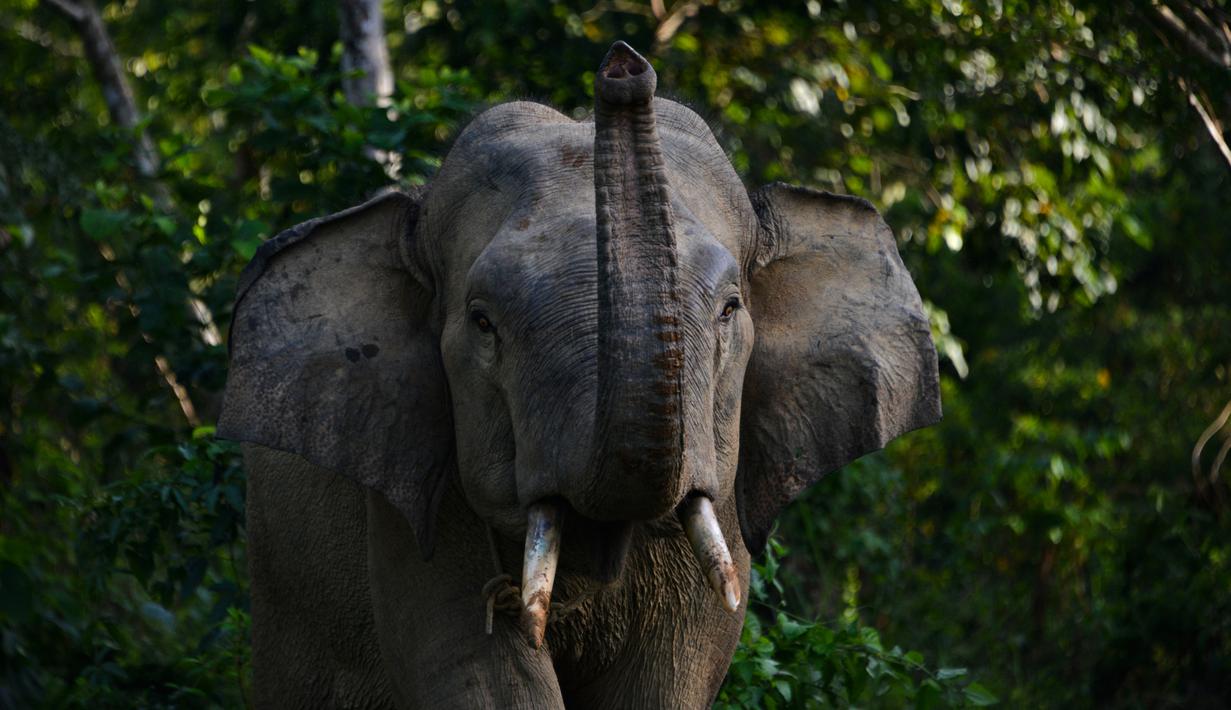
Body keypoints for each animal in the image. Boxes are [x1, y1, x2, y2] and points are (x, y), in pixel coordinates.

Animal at [216, 41, 935, 703]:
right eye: (483, 323)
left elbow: (671, 675)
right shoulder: (413, 492)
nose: (622, 66)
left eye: (730, 310)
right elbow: (478, 675)